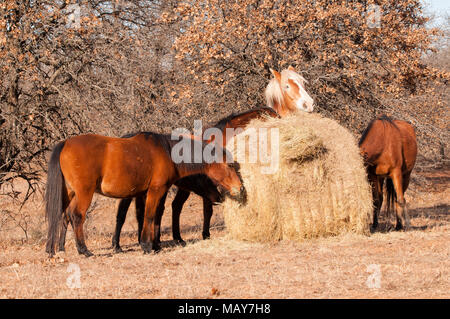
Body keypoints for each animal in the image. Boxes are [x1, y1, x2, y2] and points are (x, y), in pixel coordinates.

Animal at [44, 132, 246, 258]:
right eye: (229, 165)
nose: (240, 188)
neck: (166, 151)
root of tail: (65, 143)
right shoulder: (156, 190)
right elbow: (150, 216)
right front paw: (148, 246)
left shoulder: (143, 194)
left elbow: (146, 216)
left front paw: (149, 244)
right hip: (84, 193)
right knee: (76, 216)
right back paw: (83, 250)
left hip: (69, 193)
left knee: (62, 216)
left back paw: (56, 248)